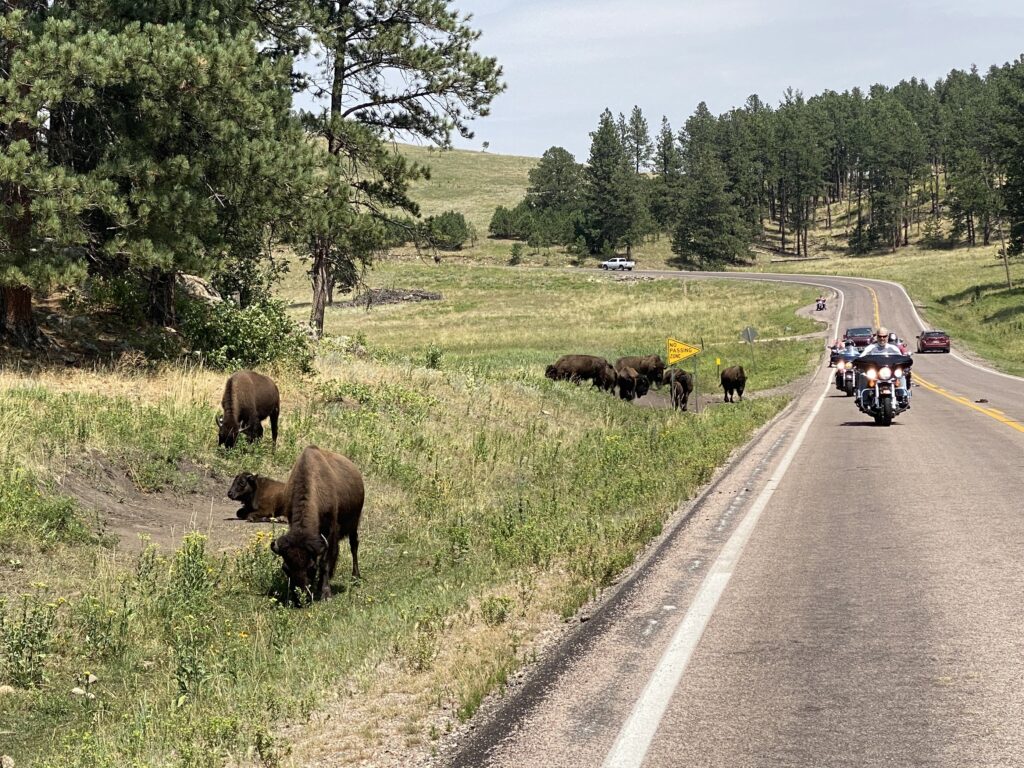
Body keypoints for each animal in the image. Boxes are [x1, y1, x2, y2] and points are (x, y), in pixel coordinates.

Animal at [270, 444, 366, 606]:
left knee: (353, 546)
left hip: (354, 523)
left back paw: (355, 577)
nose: (300, 599)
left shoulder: (330, 531)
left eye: (311, 567)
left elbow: (325, 562)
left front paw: (326, 593)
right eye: (285, 568)